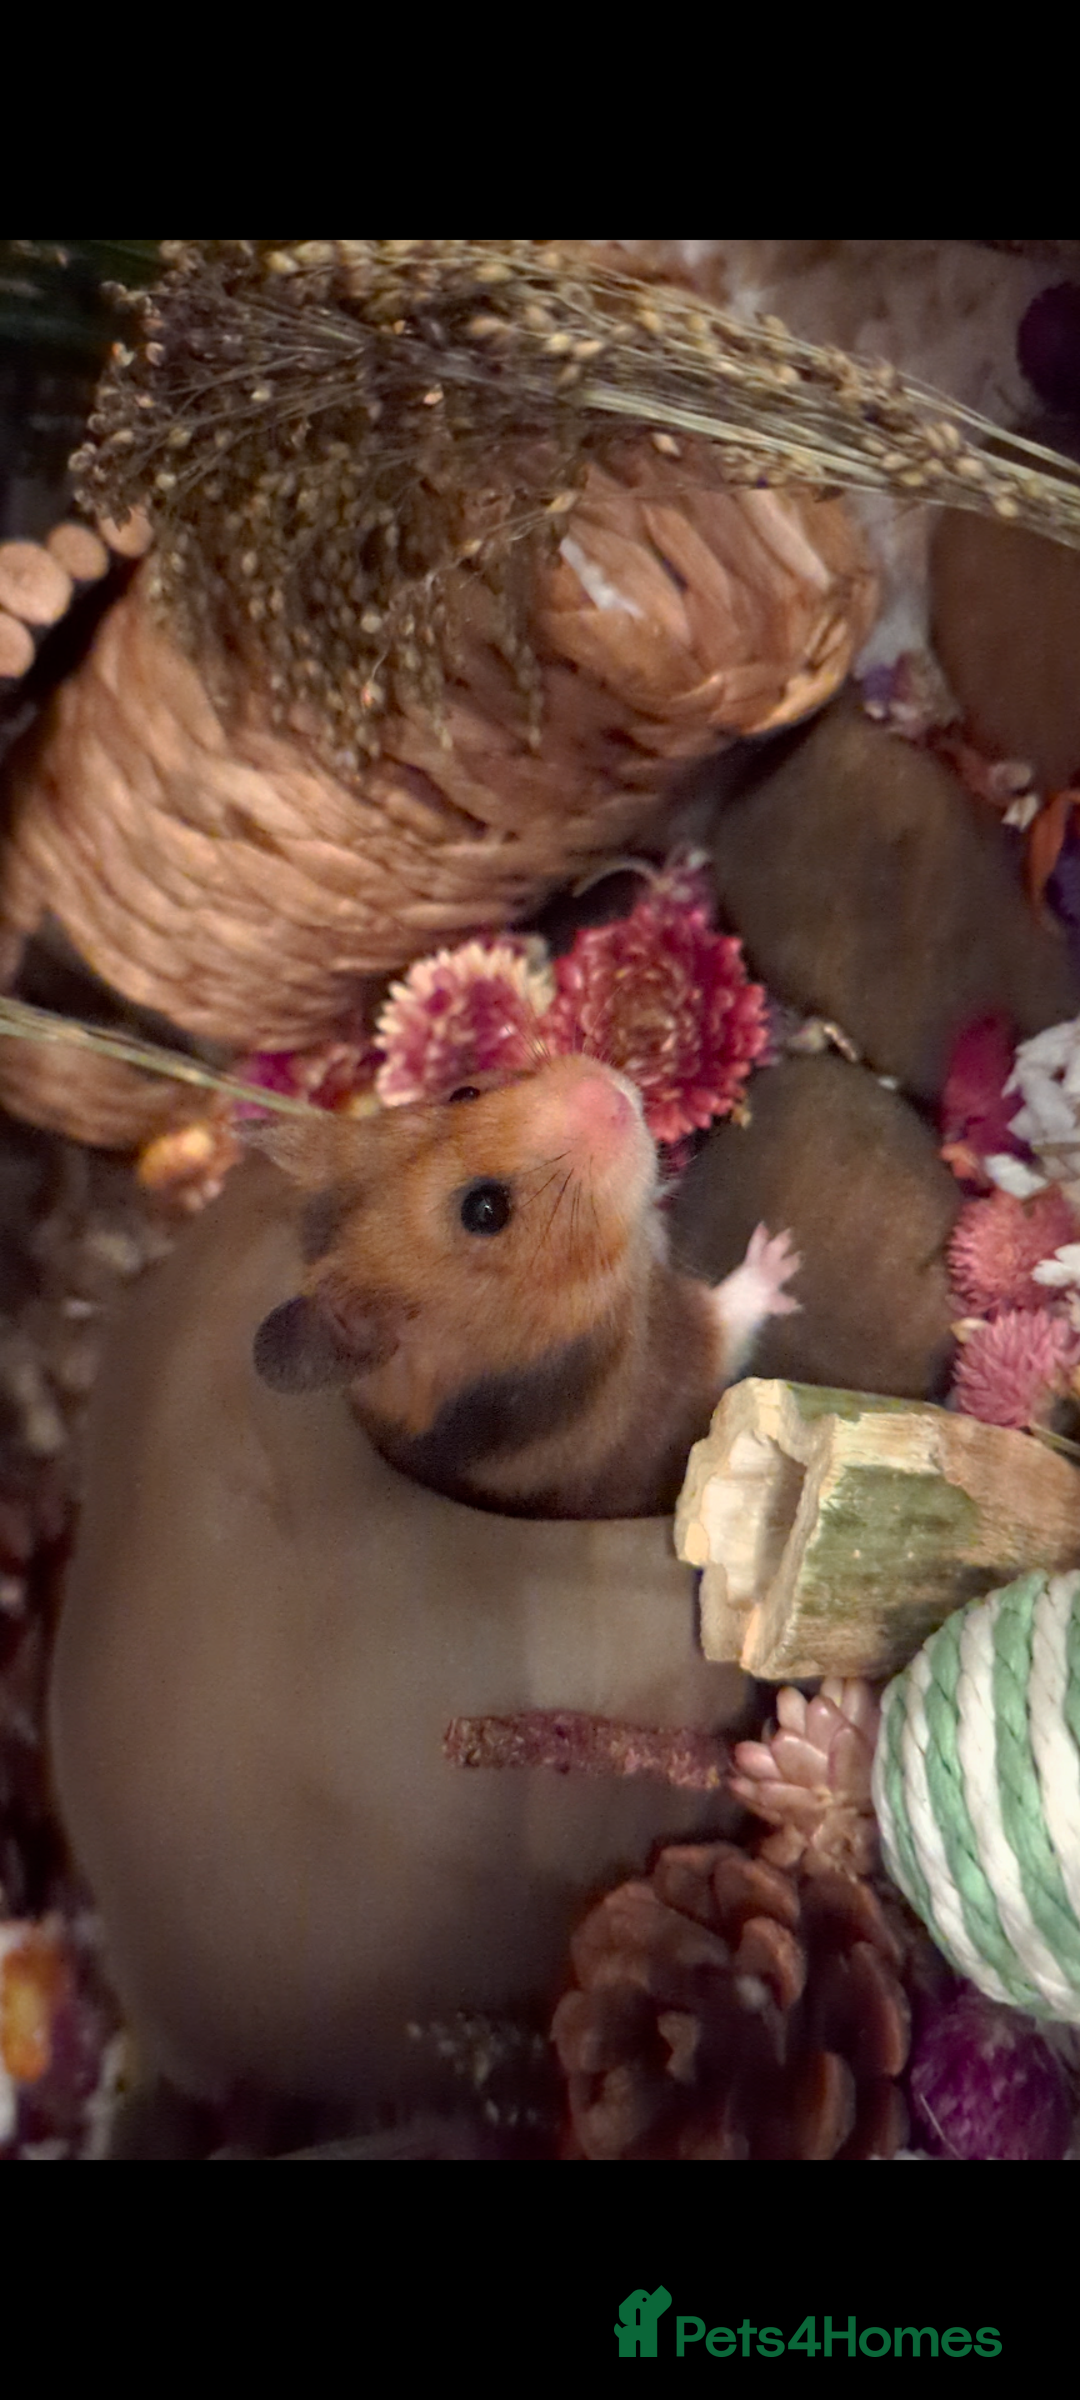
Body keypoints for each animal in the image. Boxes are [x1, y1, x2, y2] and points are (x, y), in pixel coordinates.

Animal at [252, 1054, 800, 1519]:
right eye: (485, 1210)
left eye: (464, 1093)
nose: (610, 1093)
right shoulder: (674, 1360)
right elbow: (727, 1319)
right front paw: (780, 1253)